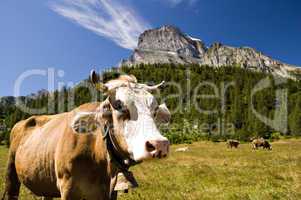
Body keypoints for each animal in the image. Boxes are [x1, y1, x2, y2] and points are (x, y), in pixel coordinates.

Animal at [1, 73, 171, 200]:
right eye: (119, 106)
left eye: (155, 109)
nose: (159, 144)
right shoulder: (67, 187)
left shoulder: (110, 193)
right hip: (11, 173)